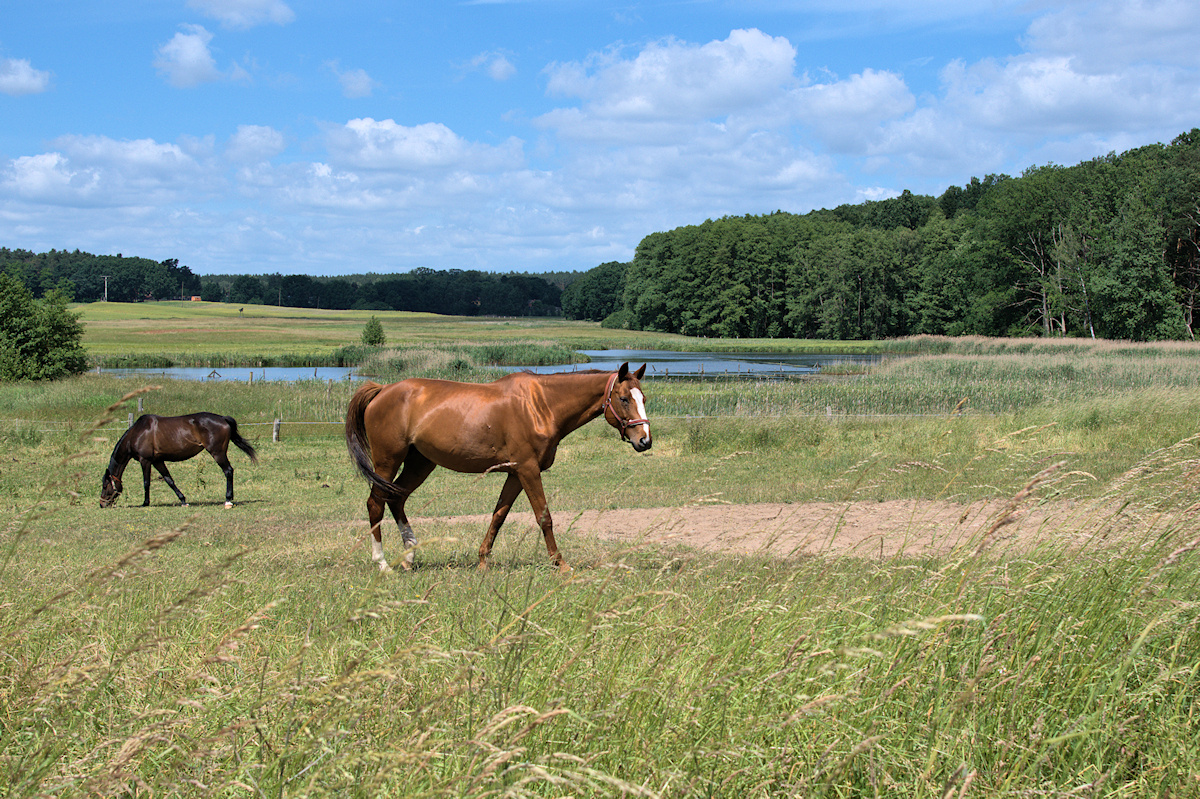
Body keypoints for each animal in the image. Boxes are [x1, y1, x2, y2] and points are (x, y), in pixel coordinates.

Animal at [99, 412, 258, 506]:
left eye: (105, 486)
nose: (102, 504)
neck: (138, 433)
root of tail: (223, 418)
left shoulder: (146, 461)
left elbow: (146, 482)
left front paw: (145, 503)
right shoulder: (157, 461)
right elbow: (169, 480)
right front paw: (183, 500)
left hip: (217, 452)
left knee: (228, 471)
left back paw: (228, 500)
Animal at [343, 357, 652, 568]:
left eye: (644, 398)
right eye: (623, 398)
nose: (645, 440)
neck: (540, 405)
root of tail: (382, 389)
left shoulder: (515, 473)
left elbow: (499, 516)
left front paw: (483, 560)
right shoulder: (528, 470)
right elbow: (544, 517)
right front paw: (560, 564)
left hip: (420, 463)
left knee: (397, 499)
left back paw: (409, 555)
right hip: (388, 461)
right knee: (375, 503)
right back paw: (382, 563)